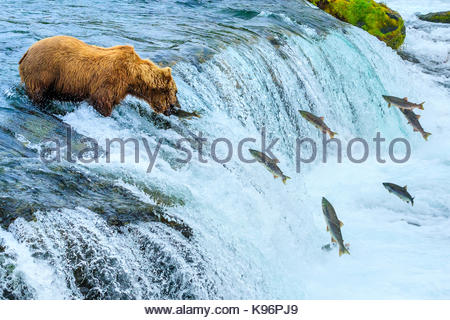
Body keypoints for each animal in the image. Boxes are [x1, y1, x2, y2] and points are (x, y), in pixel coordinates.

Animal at [18, 35, 179, 117]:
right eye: (175, 92)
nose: (174, 107)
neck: (132, 76)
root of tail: (27, 51)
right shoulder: (110, 81)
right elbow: (102, 101)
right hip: (43, 71)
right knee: (38, 94)